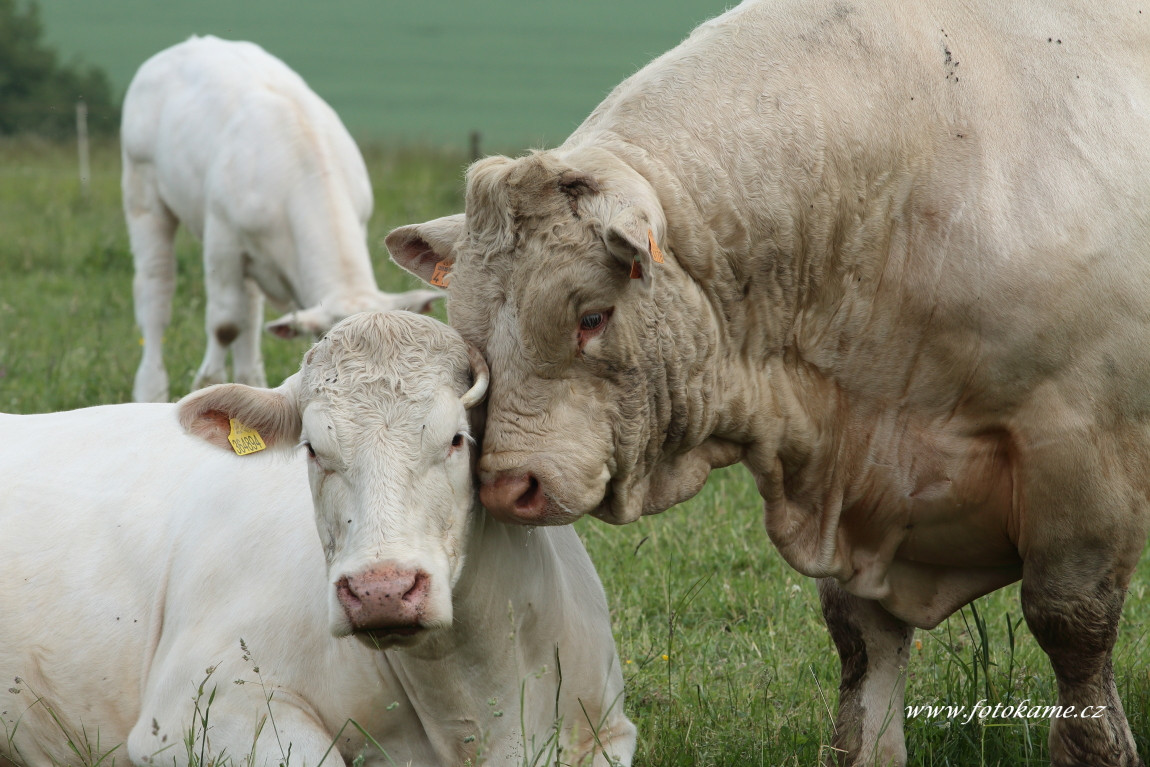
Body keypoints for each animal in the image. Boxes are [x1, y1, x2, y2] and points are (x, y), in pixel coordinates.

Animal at [0, 312, 639, 767]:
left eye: (458, 439)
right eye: (312, 448)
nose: (382, 590)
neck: (475, 709)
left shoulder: (607, 731)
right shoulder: (189, 711)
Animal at [121, 37, 441, 402]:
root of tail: (191, 42)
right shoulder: (222, 239)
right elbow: (225, 325)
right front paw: (206, 383)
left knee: (249, 312)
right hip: (143, 193)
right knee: (156, 293)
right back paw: (150, 389)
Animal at [386, 3, 1150, 763]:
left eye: (592, 317)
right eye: (470, 337)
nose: (508, 485)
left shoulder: (1081, 453)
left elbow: (1071, 625)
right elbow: (862, 643)